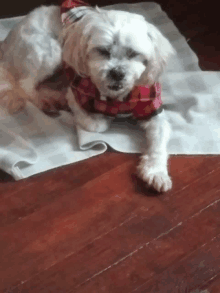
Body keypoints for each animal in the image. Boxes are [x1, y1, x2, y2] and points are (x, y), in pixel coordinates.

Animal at [0, 2, 175, 192]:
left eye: (133, 53)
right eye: (103, 51)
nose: (117, 73)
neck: (116, 96)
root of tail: (9, 38)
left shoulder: (152, 110)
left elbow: (159, 143)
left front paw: (156, 172)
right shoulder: (75, 92)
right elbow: (96, 124)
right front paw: (101, 119)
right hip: (50, 50)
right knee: (26, 86)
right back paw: (48, 99)